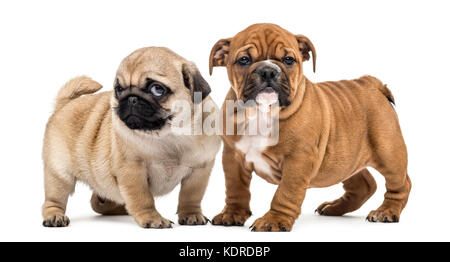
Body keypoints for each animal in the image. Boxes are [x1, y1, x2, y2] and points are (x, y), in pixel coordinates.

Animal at [41, 46, 221, 227]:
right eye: (119, 89)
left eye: (157, 89)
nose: (131, 98)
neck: (170, 136)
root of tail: (64, 104)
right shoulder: (132, 171)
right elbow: (143, 199)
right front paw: (152, 218)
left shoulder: (199, 171)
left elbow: (191, 196)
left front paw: (191, 214)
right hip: (59, 174)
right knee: (54, 199)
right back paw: (55, 216)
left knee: (99, 201)